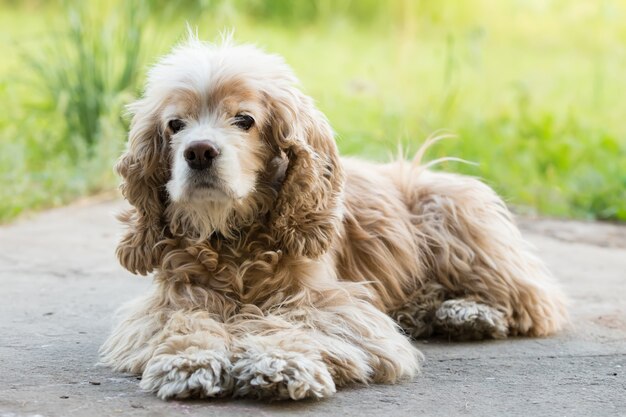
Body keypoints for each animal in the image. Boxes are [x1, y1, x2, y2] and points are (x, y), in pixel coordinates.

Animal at [97, 35, 564, 400]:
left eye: (244, 120)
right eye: (175, 124)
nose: (198, 152)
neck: (232, 240)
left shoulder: (329, 303)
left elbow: (297, 324)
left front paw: (280, 364)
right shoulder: (173, 300)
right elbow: (185, 321)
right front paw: (190, 361)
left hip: (454, 213)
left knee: (532, 302)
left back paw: (469, 314)